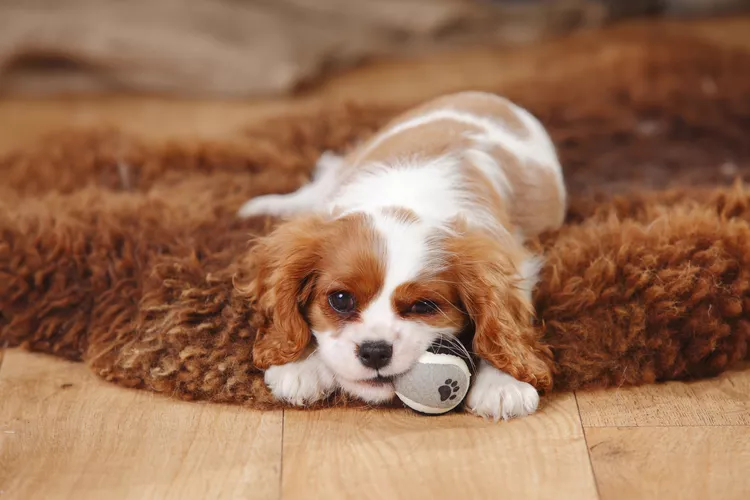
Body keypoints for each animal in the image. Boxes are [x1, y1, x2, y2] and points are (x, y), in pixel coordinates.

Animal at [238, 92, 568, 420]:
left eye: (423, 306)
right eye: (340, 299)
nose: (375, 351)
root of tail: (483, 95)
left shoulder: (512, 260)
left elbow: (505, 321)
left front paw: (503, 382)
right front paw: (300, 365)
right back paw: (261, 207)